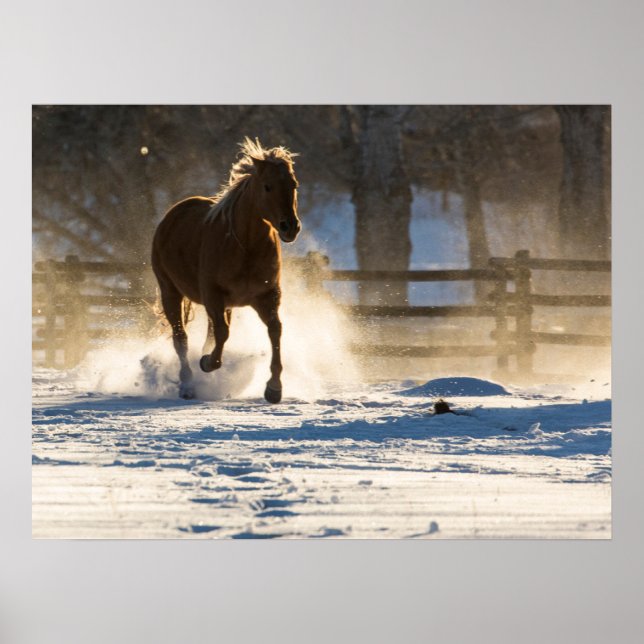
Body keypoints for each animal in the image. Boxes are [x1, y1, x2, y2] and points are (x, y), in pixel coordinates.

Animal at [151, 138, 301, 403]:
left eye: (293, 185)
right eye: (267, 186)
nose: (289, 227)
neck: (246, 248)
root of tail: (171, 215)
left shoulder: (267, 296)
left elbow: (275, 330)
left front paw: (274, 388)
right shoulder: (213, 295)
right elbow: (222, 333)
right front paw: (207, 363)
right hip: (170, 292)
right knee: (181, 339)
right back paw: (188, 386)